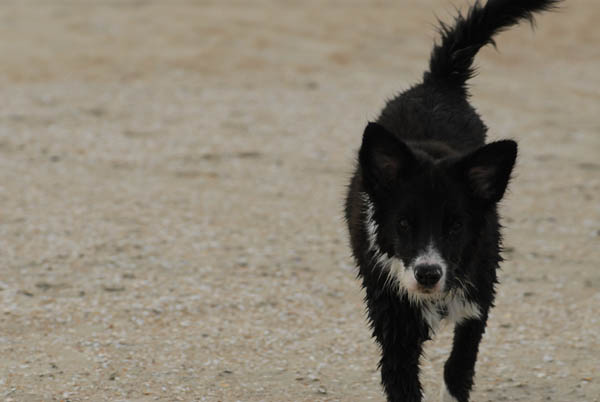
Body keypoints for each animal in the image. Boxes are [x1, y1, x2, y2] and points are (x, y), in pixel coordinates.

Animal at [344, 0, 560, 402]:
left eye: (456, 225)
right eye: (403, 224)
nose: (428, 274)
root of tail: (437, 83)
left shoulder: (478, 300)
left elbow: (459, 365)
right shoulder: (393, 324)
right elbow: (402, 382)